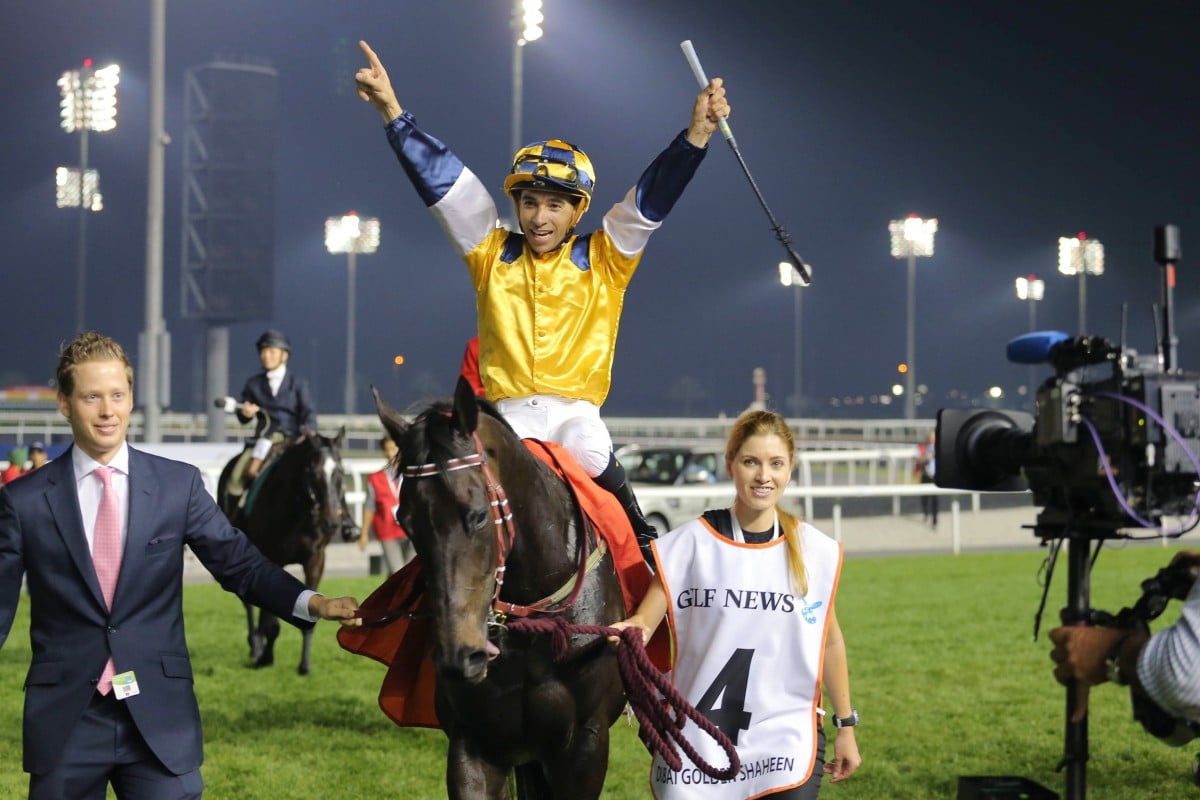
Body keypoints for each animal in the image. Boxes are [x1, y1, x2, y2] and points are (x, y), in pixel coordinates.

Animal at [217, 429, 357, 671]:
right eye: (313, 473)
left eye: (340, 472)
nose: (331, 522)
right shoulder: (271, 557)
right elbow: (270, 620)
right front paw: (266, 657)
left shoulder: (315, 560)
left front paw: (305, 665)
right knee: (249, 605)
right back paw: (256, 646)